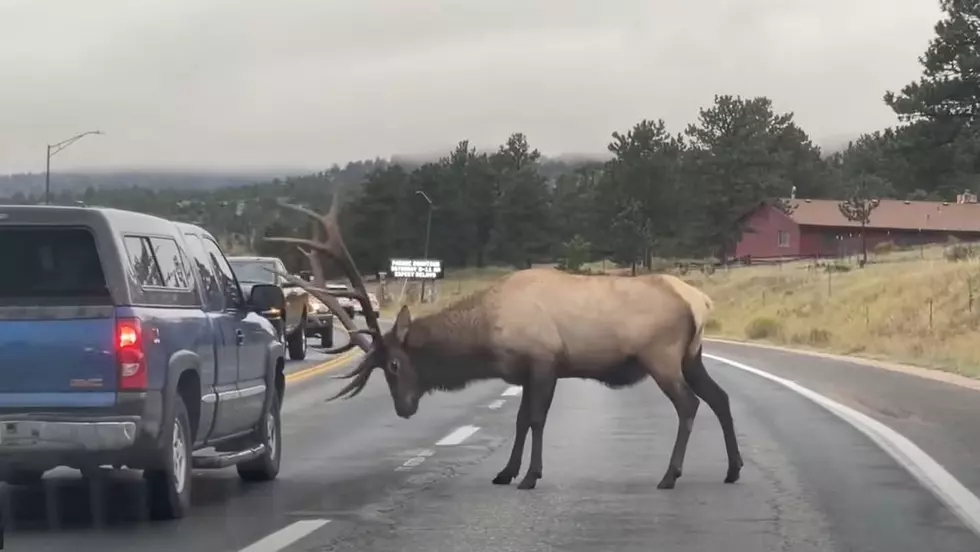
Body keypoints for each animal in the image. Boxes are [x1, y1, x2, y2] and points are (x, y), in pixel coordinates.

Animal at [266, 191, 744, 492]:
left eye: (396, 364)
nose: (404, 409)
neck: (486, 337)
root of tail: (699, 301)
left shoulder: (544, 361)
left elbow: (535, 419)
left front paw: (530, 476)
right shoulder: (524, 370)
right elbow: (518, 421)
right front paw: (506, 472)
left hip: (661, 356)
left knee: (690, 405)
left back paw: (670, 475)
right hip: (692, 356)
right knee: (720, 398)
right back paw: (733, 469)